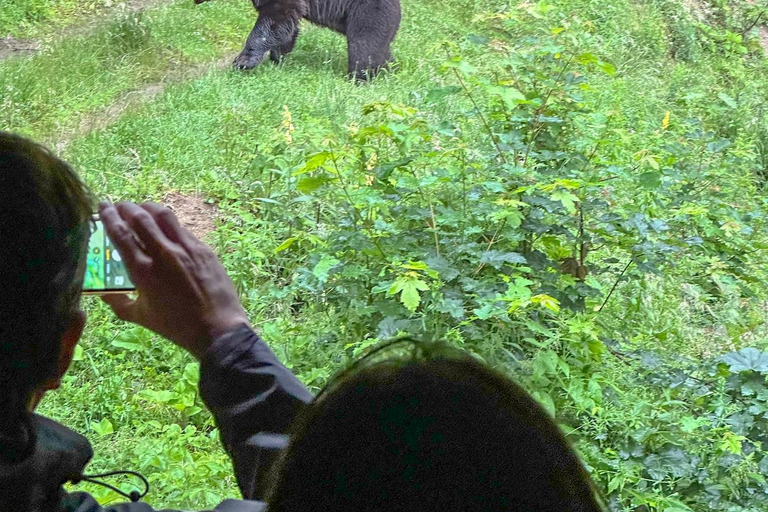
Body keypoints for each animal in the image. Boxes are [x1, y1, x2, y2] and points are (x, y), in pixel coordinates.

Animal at [195, 0, 402, 80]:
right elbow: (286, 27)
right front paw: (277, 58)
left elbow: (275, 19)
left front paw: (243, 61)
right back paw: (390, 68)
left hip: (368, 13)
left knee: (363, 47)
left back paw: (359, 78)